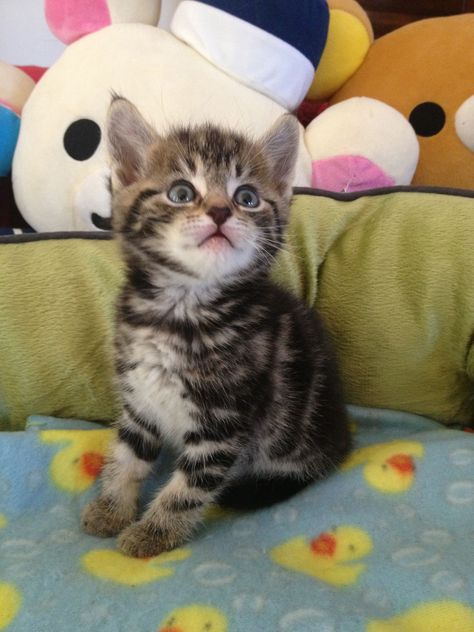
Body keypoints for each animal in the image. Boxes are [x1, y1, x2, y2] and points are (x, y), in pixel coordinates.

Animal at [81, 96, 350, 556]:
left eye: (247, 198)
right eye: (181, 193)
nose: (222, 211)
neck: (181, 310)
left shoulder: (223, 422)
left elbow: (188, 487)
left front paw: (153, 533)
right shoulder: (139, 400)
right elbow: (127, 456)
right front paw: (112, 508)